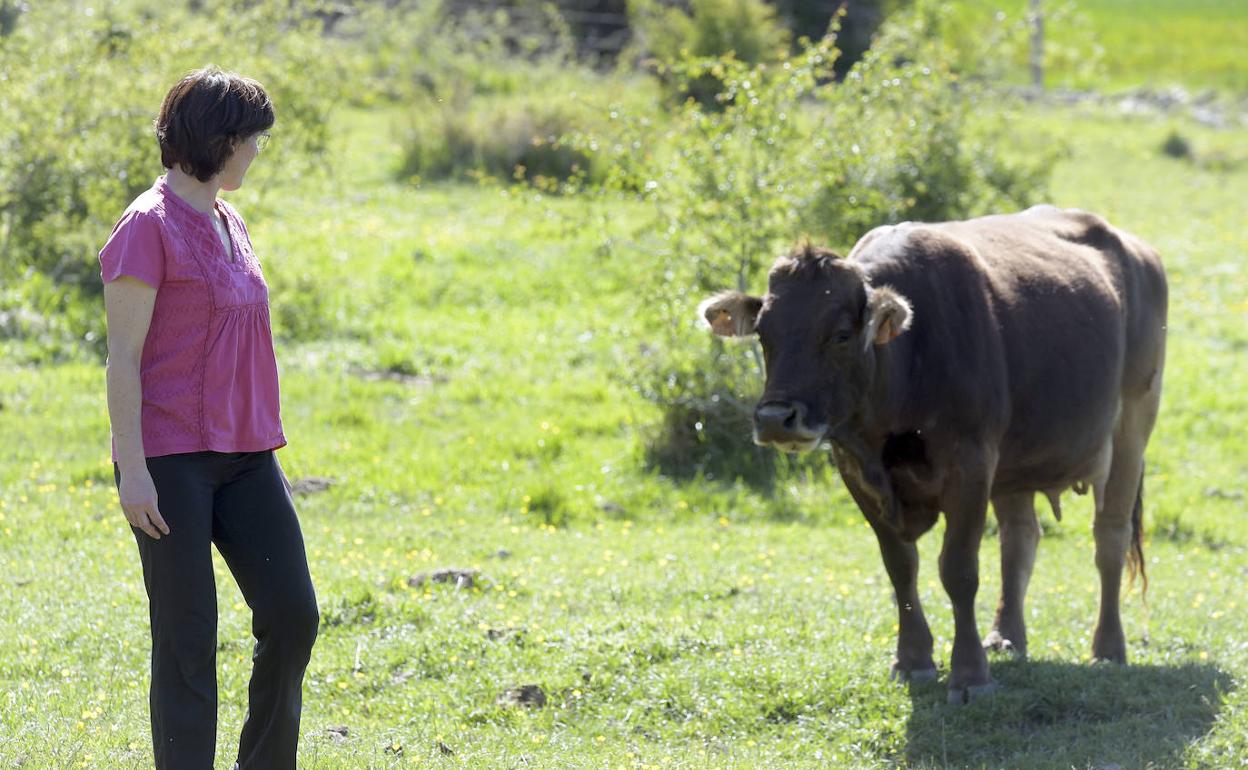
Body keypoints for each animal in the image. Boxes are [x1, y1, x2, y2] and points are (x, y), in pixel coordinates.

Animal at [698, 205, 1163, 703]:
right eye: (764, 333)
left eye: (840, 335)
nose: (774, 418)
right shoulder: (856, 469)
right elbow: (901, 567)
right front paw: (914, 660)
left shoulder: (971, 463)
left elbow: (958, 570)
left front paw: (970, 674)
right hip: (1015, 461)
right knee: (1020, 537)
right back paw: (1006, 636)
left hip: (1133, 426)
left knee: (1109, 539)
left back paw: (1108, 647)